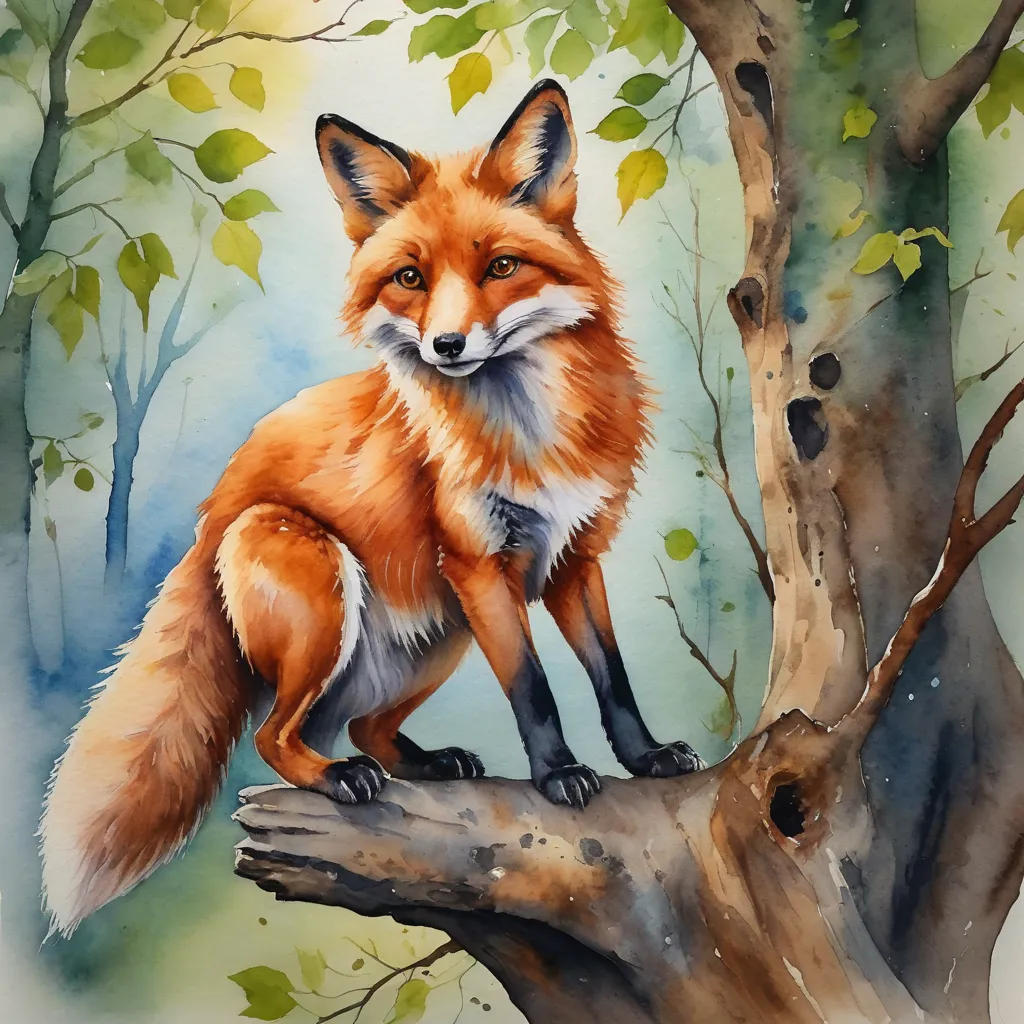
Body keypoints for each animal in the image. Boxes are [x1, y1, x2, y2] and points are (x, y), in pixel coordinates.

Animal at [39, 80, 704, 937]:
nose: (448, 346)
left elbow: (611, 678)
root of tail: (214, 513)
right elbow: (535, 690)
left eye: (501, 267)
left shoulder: (573, 558)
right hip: (329, 587)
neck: (528, 435)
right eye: (410, 279)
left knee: (364, 723)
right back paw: (336, 776)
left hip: (442, 632)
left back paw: (429, 762)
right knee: (276, 734)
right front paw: (558, 775)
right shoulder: (482, 564)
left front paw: (645, 758)